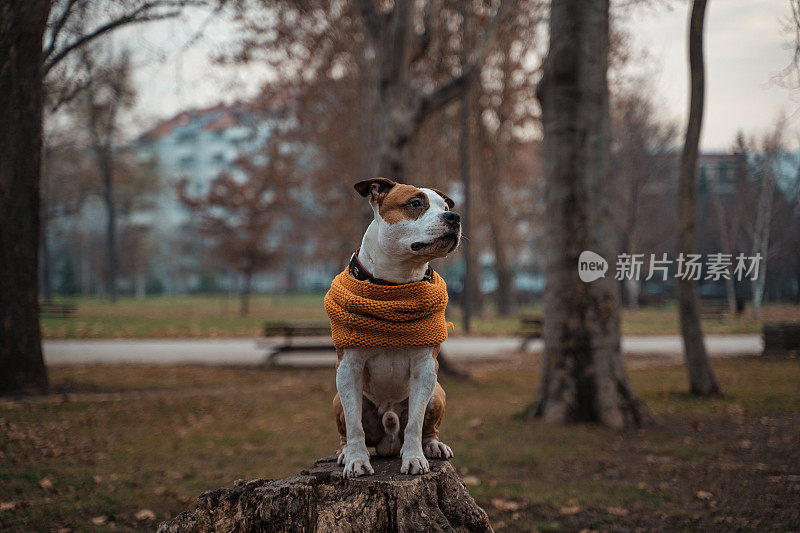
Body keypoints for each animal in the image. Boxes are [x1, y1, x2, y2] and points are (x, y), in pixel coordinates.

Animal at [326, 176, 462, 478]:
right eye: (415, 203)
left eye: (446, 207)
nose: (455, 217)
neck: (396, 287)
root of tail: (387, 443)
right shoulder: (348, 368)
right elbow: (354, 425)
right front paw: (356, 460)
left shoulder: (425, 368)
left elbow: (414, 424)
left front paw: (414, 458)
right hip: (338, 399)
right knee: (347, 430)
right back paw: (344, 452)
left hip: (438, 392)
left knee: (426, 427)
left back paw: (432, 446)